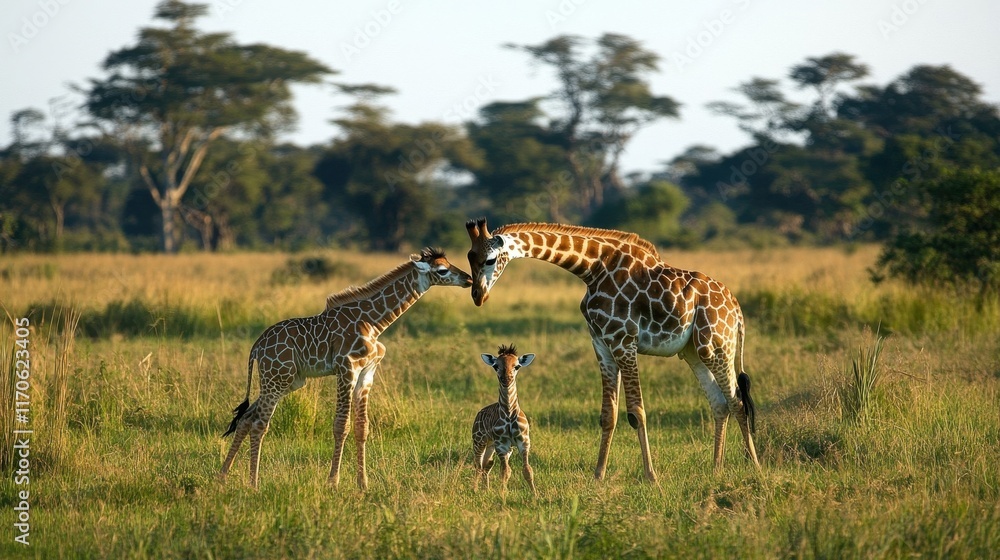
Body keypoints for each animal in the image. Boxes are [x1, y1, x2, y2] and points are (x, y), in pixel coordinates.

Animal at [220, 248, 472, 489]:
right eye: (442, 270)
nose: (468, 279)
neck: (374, 322)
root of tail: (256, 346)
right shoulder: (346, 369)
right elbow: (341, 425)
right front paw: (333, 482)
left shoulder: (367, 373)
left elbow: (362, 427)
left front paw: (363, 483)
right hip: (276, 378)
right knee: (259, 423)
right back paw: (253, 483)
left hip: (288, 381)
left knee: (246, 418)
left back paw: (222, 475)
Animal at [471, 344, 537, 494]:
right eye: (496, 366)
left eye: (517, 366)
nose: (506, 379)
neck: (508, 413)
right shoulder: (502, 444)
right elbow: (505, 471)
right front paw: (503, 494)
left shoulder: (524, 441)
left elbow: (527, 470)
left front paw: (535, 495)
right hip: (479, 441)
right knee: (478, 465)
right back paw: (475, 490)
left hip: (491, 445)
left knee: (487, 465)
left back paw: (487, 490)